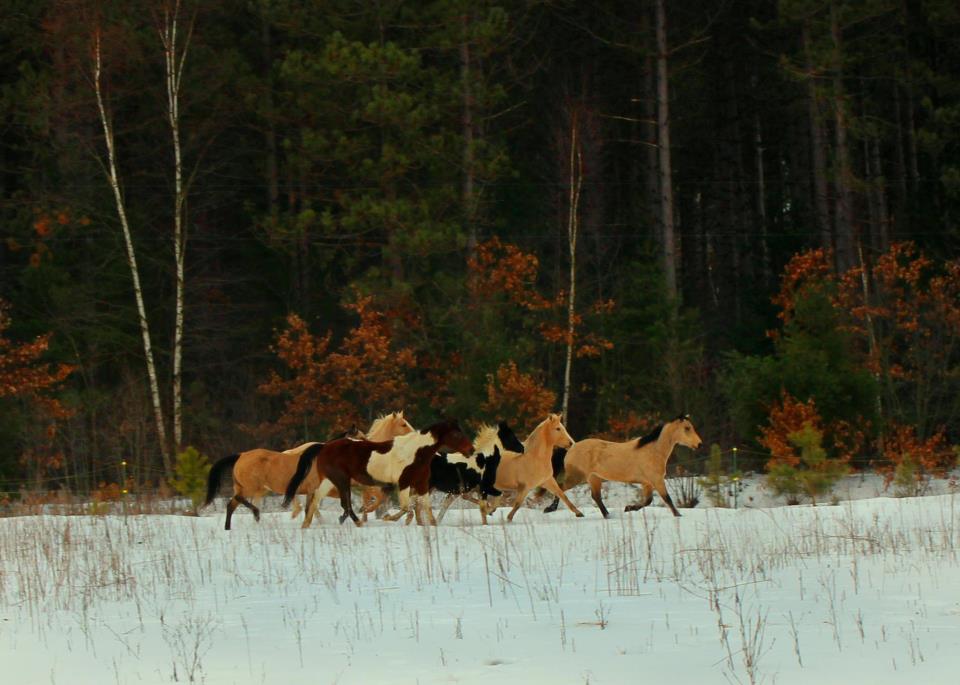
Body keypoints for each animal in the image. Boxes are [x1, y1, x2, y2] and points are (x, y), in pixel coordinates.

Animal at [282, 416, 472, 524]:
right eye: (457, 434)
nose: (470, 450)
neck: (414, 452)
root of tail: (324, 446)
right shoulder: (401, 484)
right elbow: (404, 507)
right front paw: (387, 518)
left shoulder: (421, 484)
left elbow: (424, 507)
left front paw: (432, 524)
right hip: (340, 481)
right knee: (338, 503)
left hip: (330, 481)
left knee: (317, 500)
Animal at [548, 412, 704, 520]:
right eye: (687, 428)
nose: (699, 444)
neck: (653, 451)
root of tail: (571, 447)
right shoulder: (657, 480)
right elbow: (667, 499)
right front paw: (678, 515)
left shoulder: (647, 483)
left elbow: (648, 501)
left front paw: (628, 508)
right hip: (576, 477)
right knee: (560, 488)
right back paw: (551, 509)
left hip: (594, 478)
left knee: (596, 497)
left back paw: (608, 516)